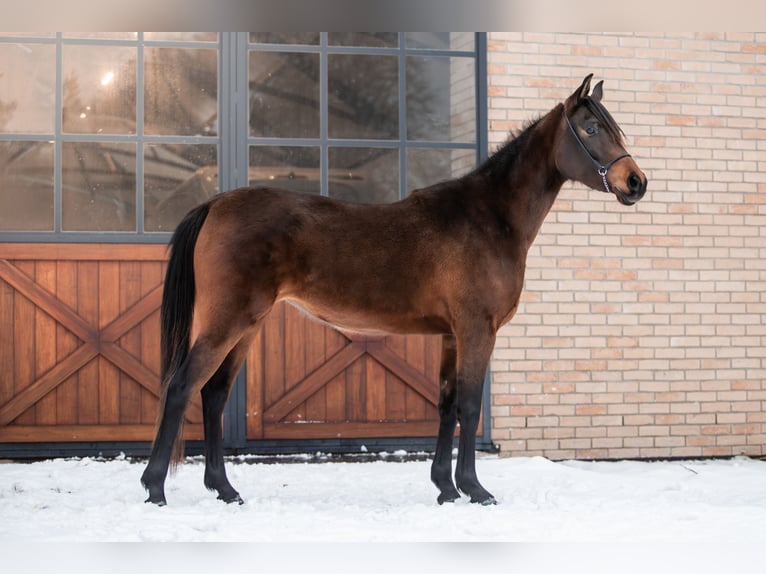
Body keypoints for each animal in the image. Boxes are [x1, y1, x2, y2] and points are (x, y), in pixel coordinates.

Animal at [140, 74, 647, 506]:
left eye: (615, 128)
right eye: (591, 128)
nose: (636, 182)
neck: (488, 217)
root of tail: (215, 203)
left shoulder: (451, 335)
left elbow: (446, 405)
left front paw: (445, 488)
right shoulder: (477, 330)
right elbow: (468, 406)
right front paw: (475, 489)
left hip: (246, 326)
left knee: (214, 394)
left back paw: (225, 490)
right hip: (228, 321)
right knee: (182, 386)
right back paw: (155, 489)